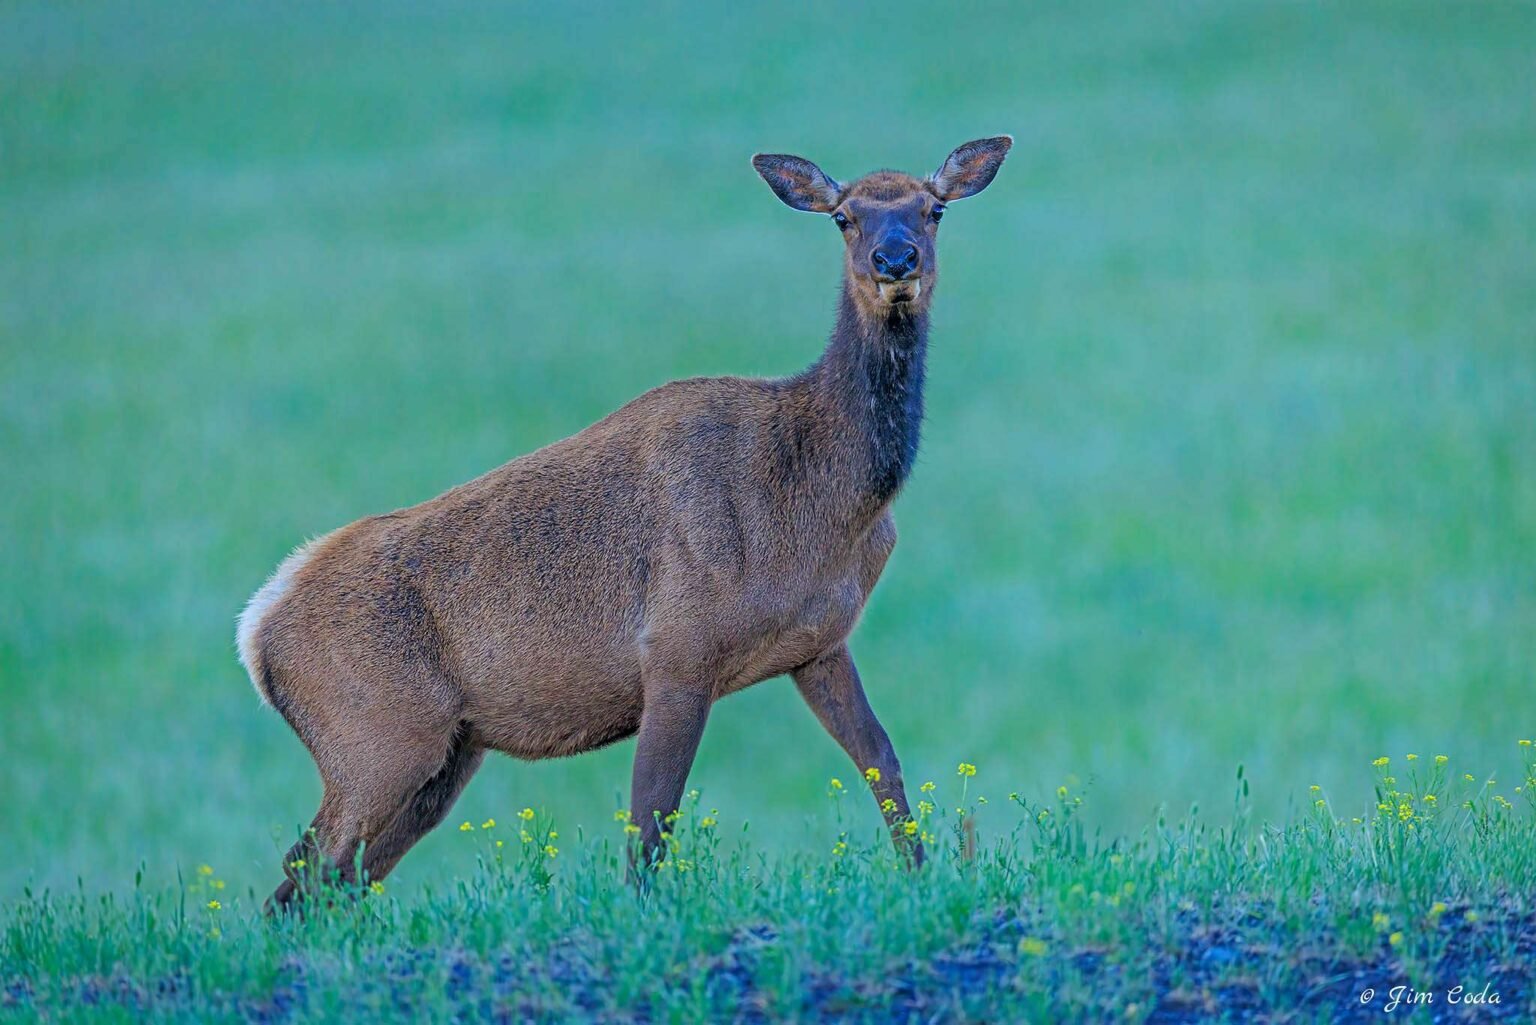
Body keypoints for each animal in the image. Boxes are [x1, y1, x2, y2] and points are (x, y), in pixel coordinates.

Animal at [237, 137, 1012, 911]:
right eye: (844, 217)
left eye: (934, 209)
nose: (896, 260)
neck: (825, 506)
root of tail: (257, 628)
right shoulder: (676, 647)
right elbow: (652, 813)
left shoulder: (819, 643)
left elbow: (881, 760)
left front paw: (924, 879)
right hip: (375, 737)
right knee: (305, 867)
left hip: (444, 753)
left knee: (330, 881)